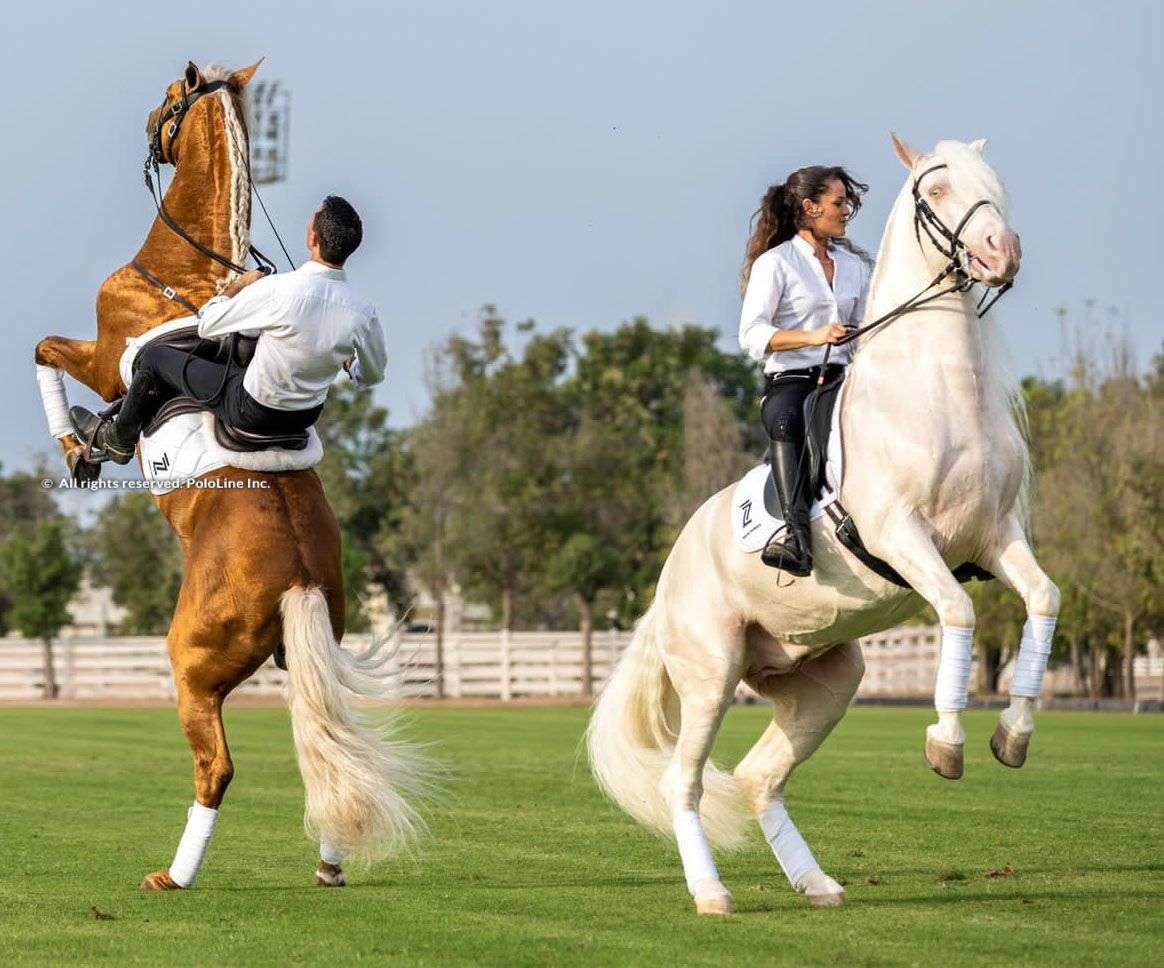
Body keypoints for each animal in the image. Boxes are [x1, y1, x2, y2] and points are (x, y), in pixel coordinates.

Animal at [34, 60, 433, 893]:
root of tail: (300, 580)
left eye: (169, 101)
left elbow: (45, 349)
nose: (147, 130)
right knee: (324, 745)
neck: (190, 270)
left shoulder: (103, 356)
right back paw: (329, 863)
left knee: (215, 768)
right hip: (308, 659)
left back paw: (174, 877)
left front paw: (82, 444)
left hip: (194, 667)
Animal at [586, 134, 1061, 916]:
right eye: (937, 190)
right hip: (712, 673)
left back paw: (816, 883)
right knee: (684, 781)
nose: (1004, 252)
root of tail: (666, 580)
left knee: (759, 777)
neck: (936, 396)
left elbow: (1044, 600)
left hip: (822, 678)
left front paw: (1013, 739)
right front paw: (946, 746)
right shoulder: (903, 537)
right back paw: (711, 893)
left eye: (995, 183)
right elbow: (959, 612)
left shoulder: (996, 541)